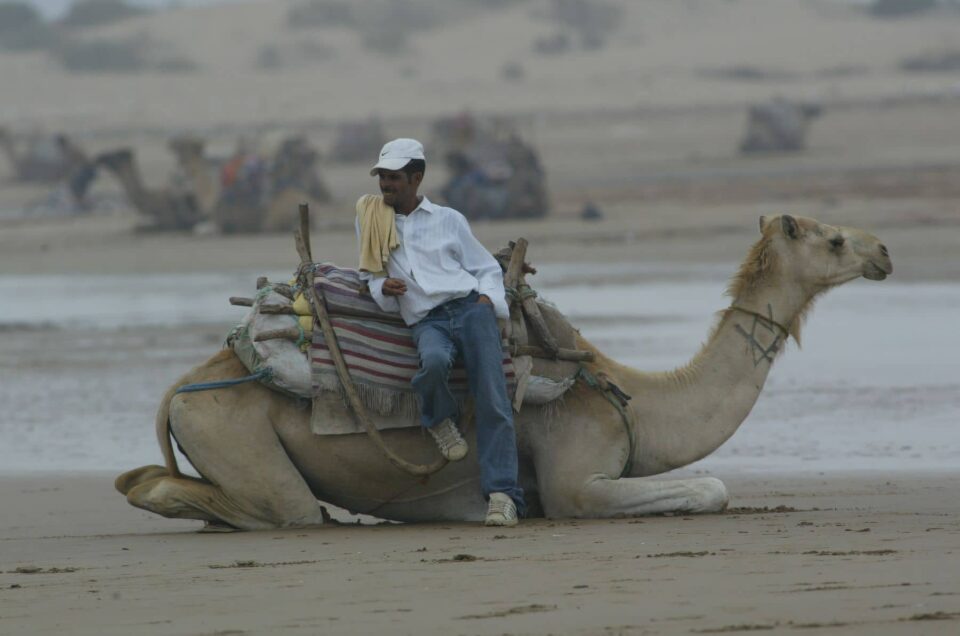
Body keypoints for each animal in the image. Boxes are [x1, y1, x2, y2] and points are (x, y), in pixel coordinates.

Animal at [118, 216, 892, 528]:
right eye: (832, 239)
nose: (884, 249)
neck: (631, 397)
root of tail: (179, 391)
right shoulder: (578, 483)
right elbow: (710, 488)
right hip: (235, 436)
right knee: (272, 507)